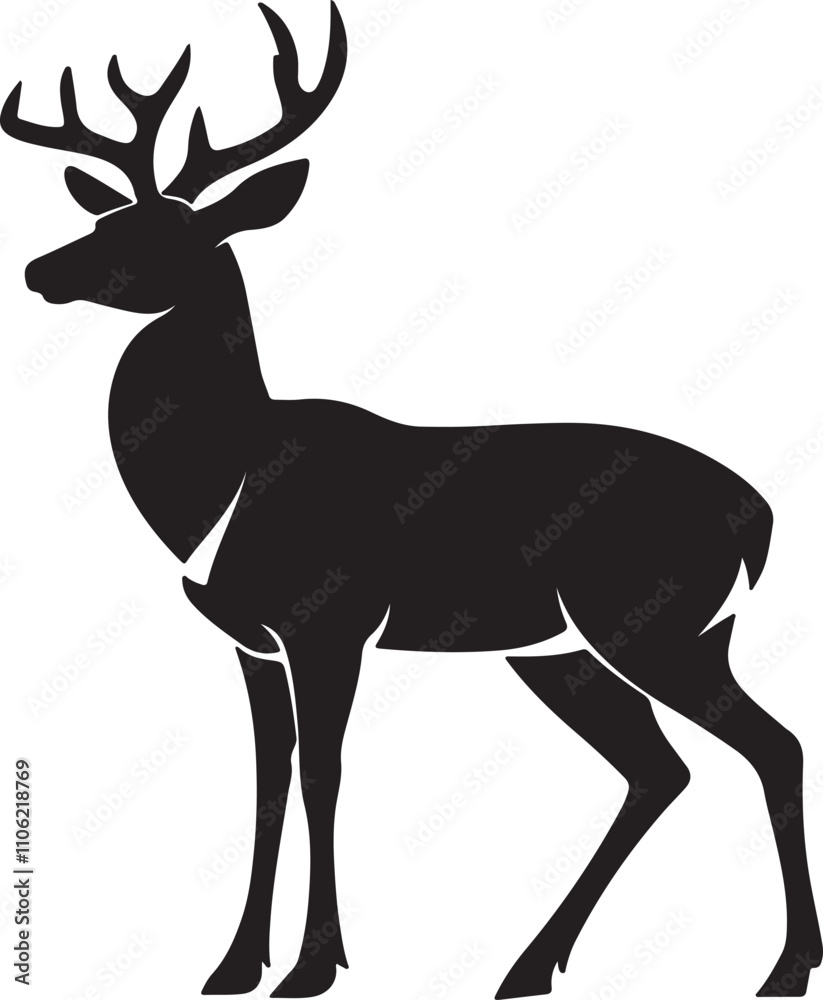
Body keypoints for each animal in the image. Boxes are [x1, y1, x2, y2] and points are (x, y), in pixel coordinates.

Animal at [2, 3, 820, 997]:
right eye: (107, 214)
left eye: (166, 234)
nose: (40, 270)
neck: (227, 484)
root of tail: (761, 517)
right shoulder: (251, 639)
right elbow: (267, 781)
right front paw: (232, 965)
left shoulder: (330, 622)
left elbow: (323, 775)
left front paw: (314, 966)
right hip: (569, 650)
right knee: (659, 769)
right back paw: (529, 967)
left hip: (652, 623)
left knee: (770, 745)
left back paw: (783, 968)